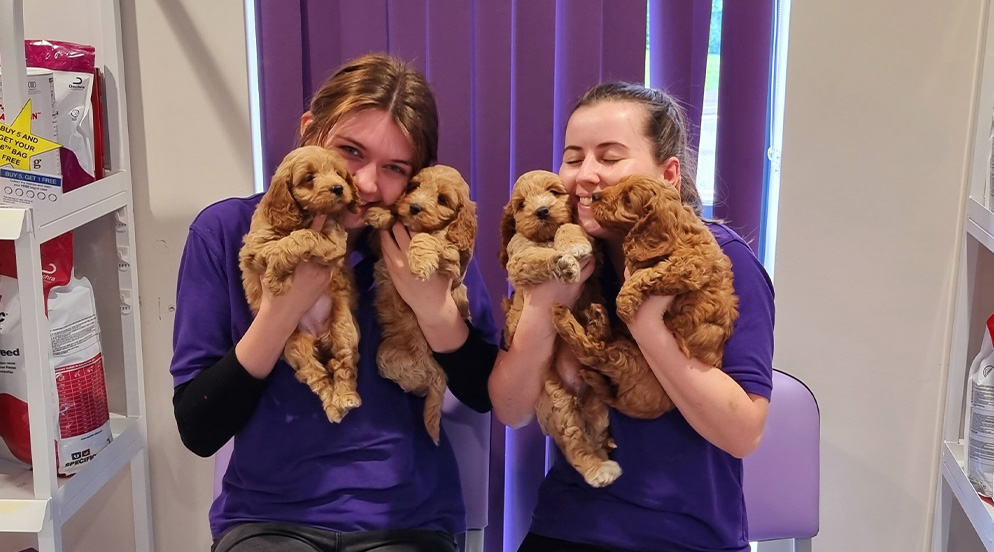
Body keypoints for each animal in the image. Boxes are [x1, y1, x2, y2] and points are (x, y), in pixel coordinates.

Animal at [238, 146, 362, 422]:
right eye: (308, 178)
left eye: (338, 173)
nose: (339, 188)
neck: (304, 216)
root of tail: (319, 336)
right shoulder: (255, 247)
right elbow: (280, 244)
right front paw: (276, 277)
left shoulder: (334, 240)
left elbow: (303, 236)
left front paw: (276, 275)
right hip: (295, 347)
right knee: (318, 377)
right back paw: (333, 405)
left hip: (343, 328)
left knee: (344, 365)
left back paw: (345, 398)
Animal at [364, 164, 476, 444]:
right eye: (413, 187)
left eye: (443, 199)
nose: (414, 207)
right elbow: (387, 227)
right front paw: (382, 213)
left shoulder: (454, 261)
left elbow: (432, 238)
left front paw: (420, 261)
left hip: (387, 358)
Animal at [500, 169, 624, 488]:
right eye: (521, 205)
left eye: (554, 192)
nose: (542, 211)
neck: (544, 237)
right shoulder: (519, 259)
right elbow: (535, 258)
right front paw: (560, 262)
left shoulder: (594, 248)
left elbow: (571, 226)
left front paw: (571, 244)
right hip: (558, 403)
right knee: (575, 445)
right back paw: (598, 470)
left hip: (598, 406)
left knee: (594, 432)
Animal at [580, 175, 736, 368]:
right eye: (619, 183)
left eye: (628, 200)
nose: (594, 196)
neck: (678, 227)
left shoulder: (690, 263)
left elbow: (649, 273)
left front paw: (624, 303)